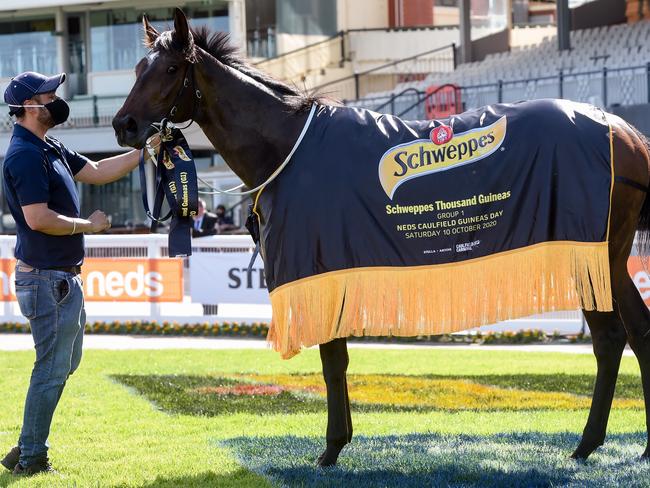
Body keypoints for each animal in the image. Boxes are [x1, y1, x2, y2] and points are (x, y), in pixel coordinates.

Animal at [114, 7, 648, 466]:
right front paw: (341, 439)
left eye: (169, 69)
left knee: (610, 339)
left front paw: (330, 448)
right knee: (638, 332)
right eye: (139, 67)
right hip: (608, 259)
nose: (123, 125)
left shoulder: (318, 267)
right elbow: (339, 358)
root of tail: (622, 129)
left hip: (593, 257)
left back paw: (588, 443)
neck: (288, 146)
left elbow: (332, 358)